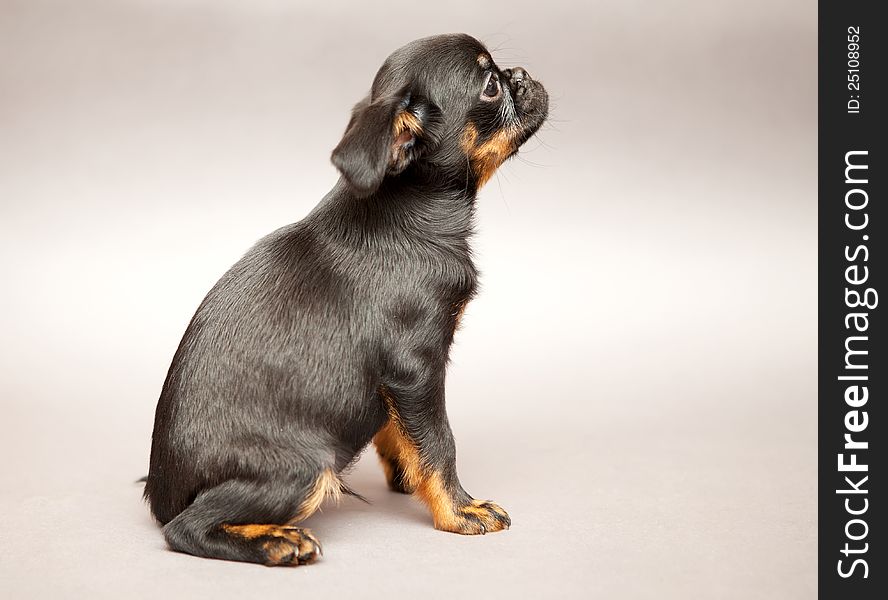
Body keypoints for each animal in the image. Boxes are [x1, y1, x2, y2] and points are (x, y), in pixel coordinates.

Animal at [144, 34, 548, 568]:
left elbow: (401, 433)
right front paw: (459, 510)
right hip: (308, 466)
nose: (520, 74)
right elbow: (440, 443)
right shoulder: (416, 367)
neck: (409, 208)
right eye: (490, 86)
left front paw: (408, 478)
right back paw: (277, 541)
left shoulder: (396, 382)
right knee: (185, 529)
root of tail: (161, 497)